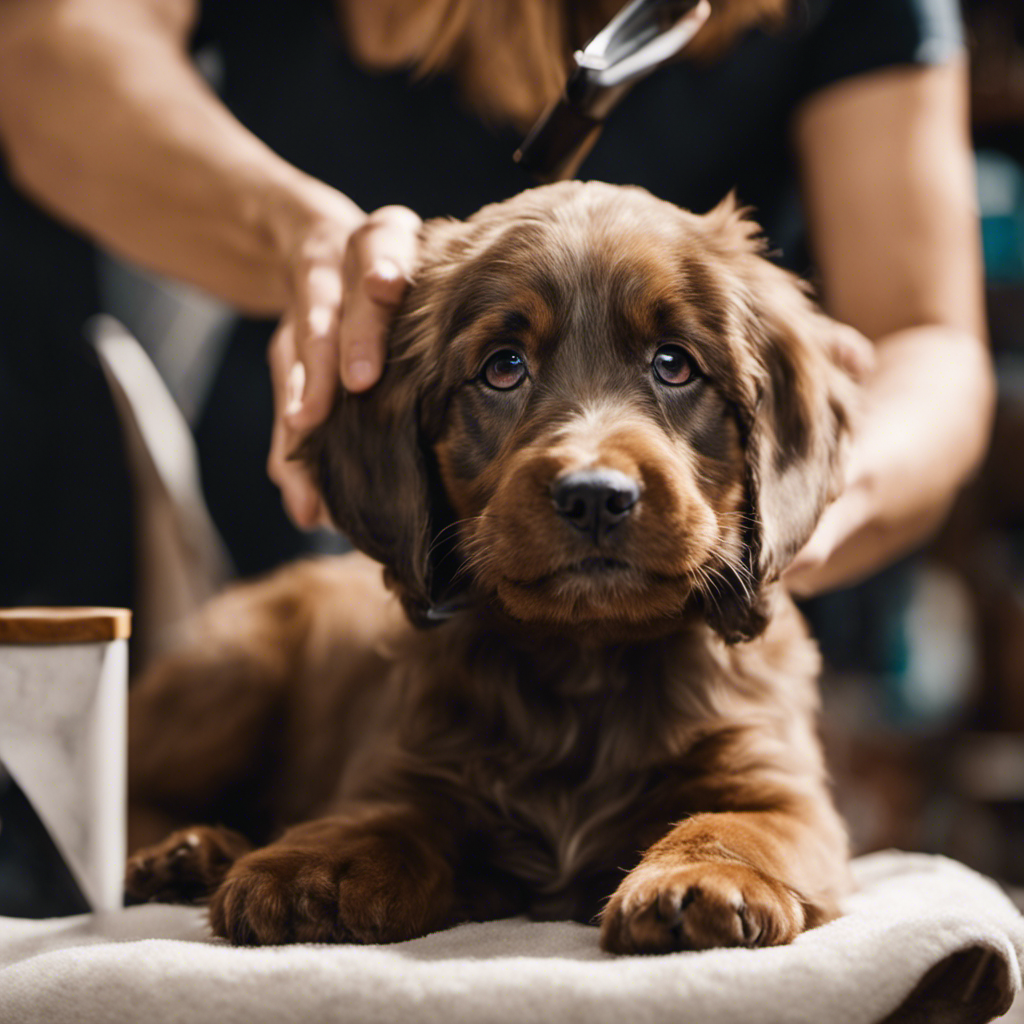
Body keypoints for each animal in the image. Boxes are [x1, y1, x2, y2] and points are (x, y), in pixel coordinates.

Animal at [125, 182, 856, 950]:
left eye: (674, 364)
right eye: (504, 367)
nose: (595, 497)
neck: (586, 662)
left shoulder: (778, 785)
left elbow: (736, 825)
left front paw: (700, 879)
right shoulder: (412, 769)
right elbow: (377, 820)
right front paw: (305, 868)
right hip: (231, 673)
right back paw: (186, 852)